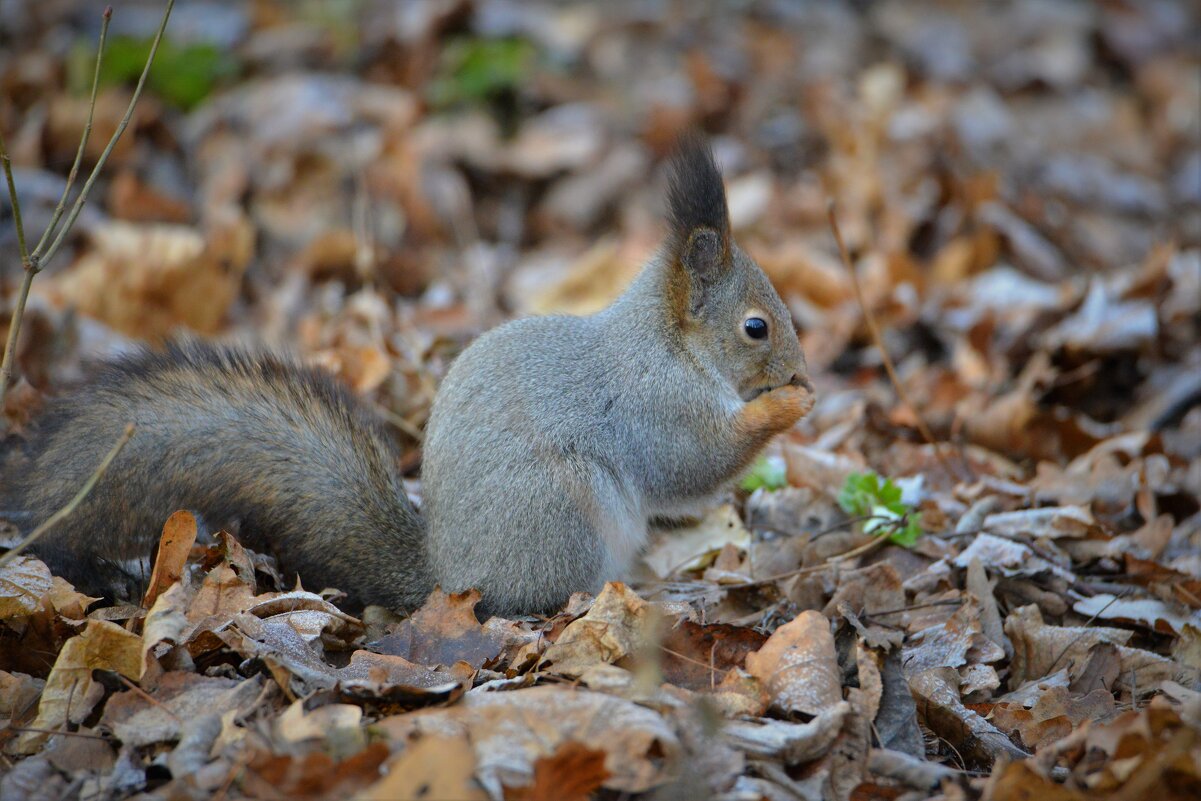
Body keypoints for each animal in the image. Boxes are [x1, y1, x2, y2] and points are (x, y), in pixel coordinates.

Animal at [2, 138, 816, 619]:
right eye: (755, 328)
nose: (801, 370)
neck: (669, 344)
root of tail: (447, 580)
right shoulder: (651, 401)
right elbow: (692, 462)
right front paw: (786, 408)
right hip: (563, 517)